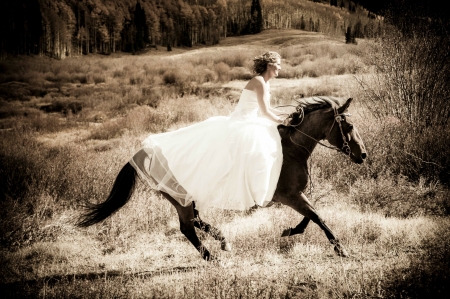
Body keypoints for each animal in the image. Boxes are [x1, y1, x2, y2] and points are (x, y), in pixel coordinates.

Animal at [77, 97, 366, 262]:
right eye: (349, 127)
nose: (363, 155)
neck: (290, 149)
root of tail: (144, 151)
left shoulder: (295, 195)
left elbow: (312, 214)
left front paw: (290, 231)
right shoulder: (288, 195)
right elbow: (317, 216)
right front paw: (340, 249)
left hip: (186, 196)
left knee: (195, 221)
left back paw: (222, 241)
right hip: (181, 197)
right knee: (188, 227)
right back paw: (211, 256)